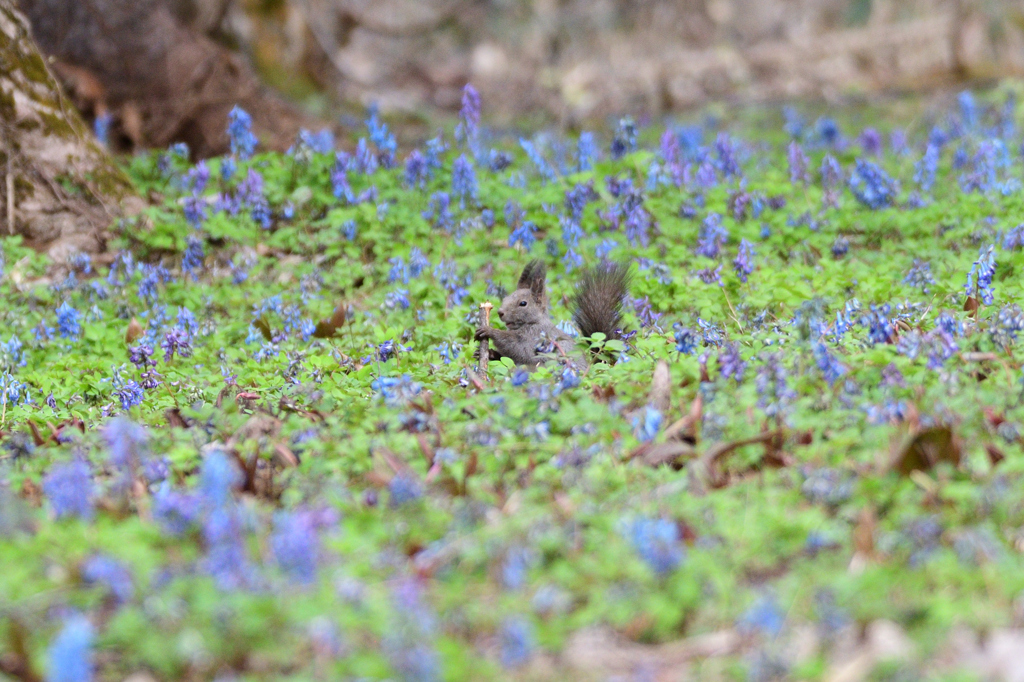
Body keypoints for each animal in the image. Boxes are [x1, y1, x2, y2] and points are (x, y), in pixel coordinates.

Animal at [473, 259, 630, 366]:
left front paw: (489, 330)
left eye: (523, 303)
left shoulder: (535, 337)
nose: (500, 312)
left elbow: (517, 348)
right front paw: (488, 353)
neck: (532, 322)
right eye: (505, 298)